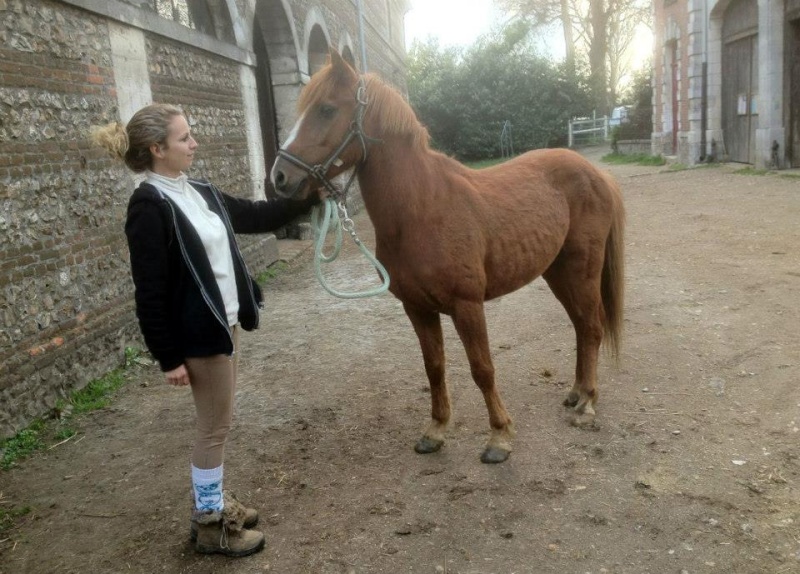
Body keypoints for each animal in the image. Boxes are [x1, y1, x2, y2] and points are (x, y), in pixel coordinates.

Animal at [274, 48, 624, 464]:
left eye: (326, 109)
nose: (279, 177)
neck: (422, 209)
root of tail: (596, 173)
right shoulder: (417, 308)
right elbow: (434, 367)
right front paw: (435, 430)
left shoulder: (467, 305)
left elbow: (482, 369)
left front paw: (499, 437)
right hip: (557, 272)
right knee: (580, 326)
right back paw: (575, 393)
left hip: (582, 269)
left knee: (592, 326)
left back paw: (587, 404)